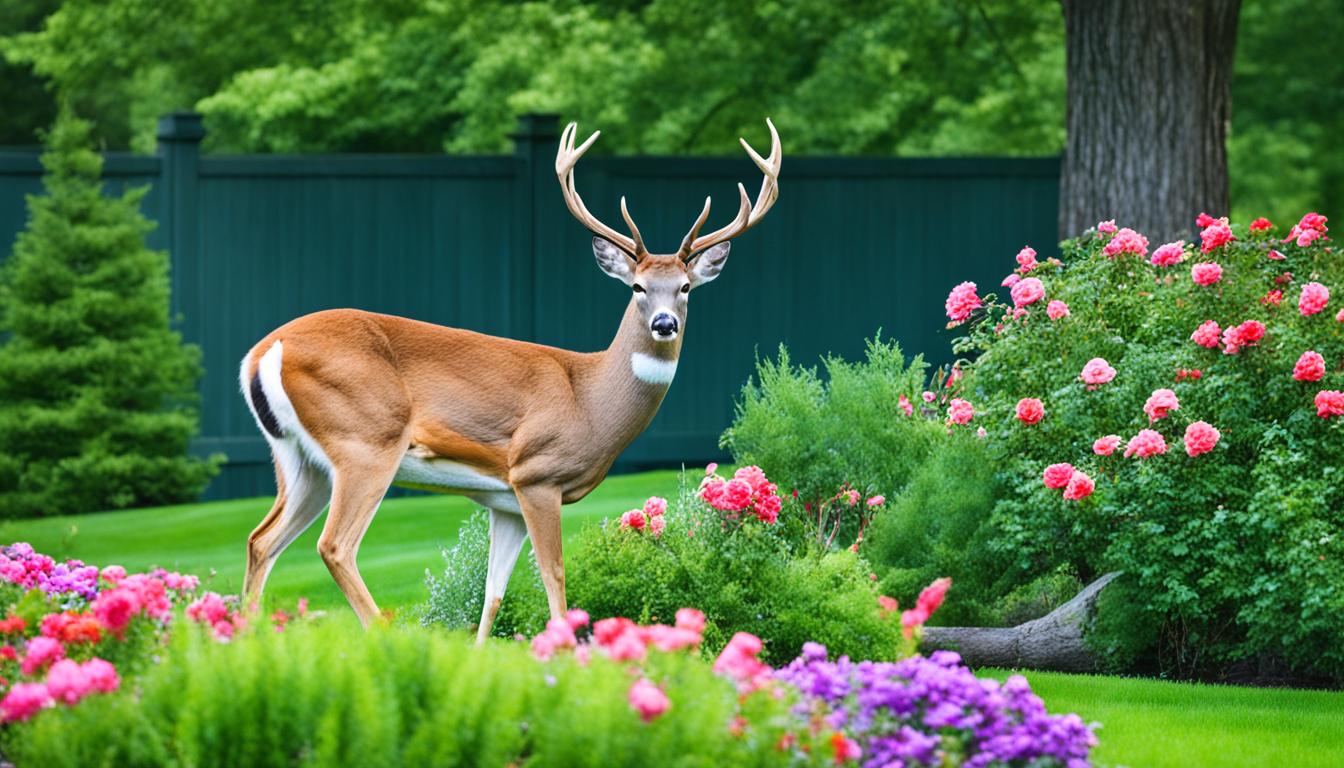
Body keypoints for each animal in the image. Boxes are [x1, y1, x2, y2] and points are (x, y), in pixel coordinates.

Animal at [237, 117, 784, 640]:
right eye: (637, 286)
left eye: (686, 287)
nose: (664, 323)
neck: (589, 400)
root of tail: (262, 353)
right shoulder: (537, 473)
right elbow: (554, 577)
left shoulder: (503, 501)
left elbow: (492, 594)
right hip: (366, 438)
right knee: (334, 545)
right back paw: (387, 638)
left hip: (300, 458)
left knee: (261, 539)